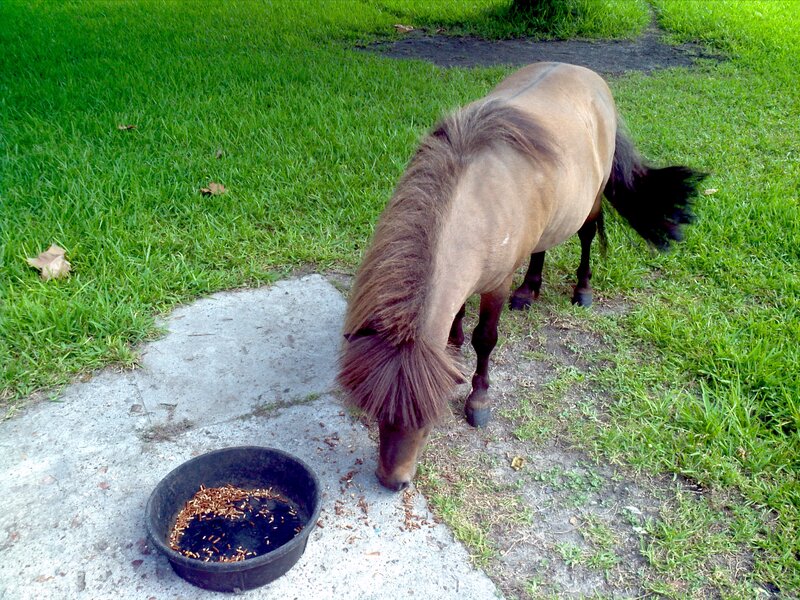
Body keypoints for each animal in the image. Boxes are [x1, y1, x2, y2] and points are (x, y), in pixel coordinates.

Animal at [338, 62, 705, 491]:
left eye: (428, 422)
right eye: (377, 412)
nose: (392, 481)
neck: (474, 202)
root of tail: (590, 76)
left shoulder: (495, 285)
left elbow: (485, 339)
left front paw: (478, 400)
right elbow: (458, 314)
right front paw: (454, 343)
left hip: (590, 202)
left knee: (586, 234)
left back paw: (582, 289)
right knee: (541, 247)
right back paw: (529, 290)